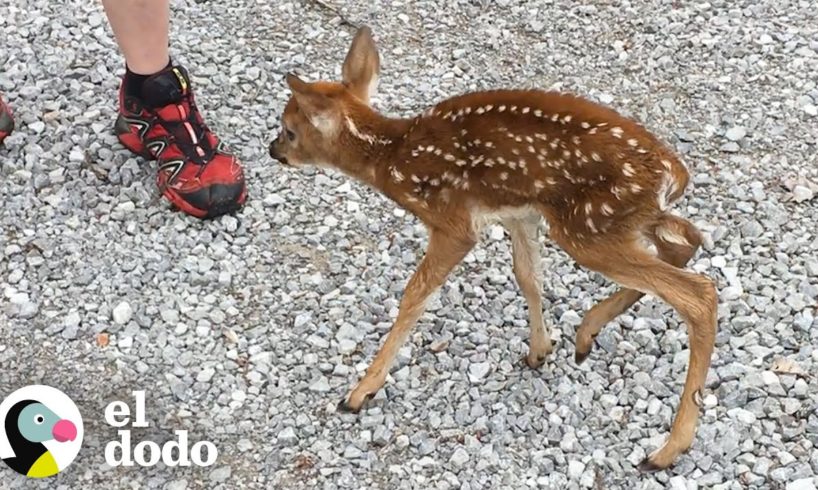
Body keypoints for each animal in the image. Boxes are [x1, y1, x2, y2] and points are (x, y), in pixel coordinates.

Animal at [268, 26, 712, 470]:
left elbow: (415, 294)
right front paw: (539, 351)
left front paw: (360, 392)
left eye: (289, 129)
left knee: (699, 292)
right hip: (620, 221)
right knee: (686, 240)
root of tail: (675, 173)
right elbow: (528, 276)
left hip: (589, 227)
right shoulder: (519, 213)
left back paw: (668, 448)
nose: (274, 150)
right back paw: (586, 335)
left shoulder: (452, 221)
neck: (393, 158)